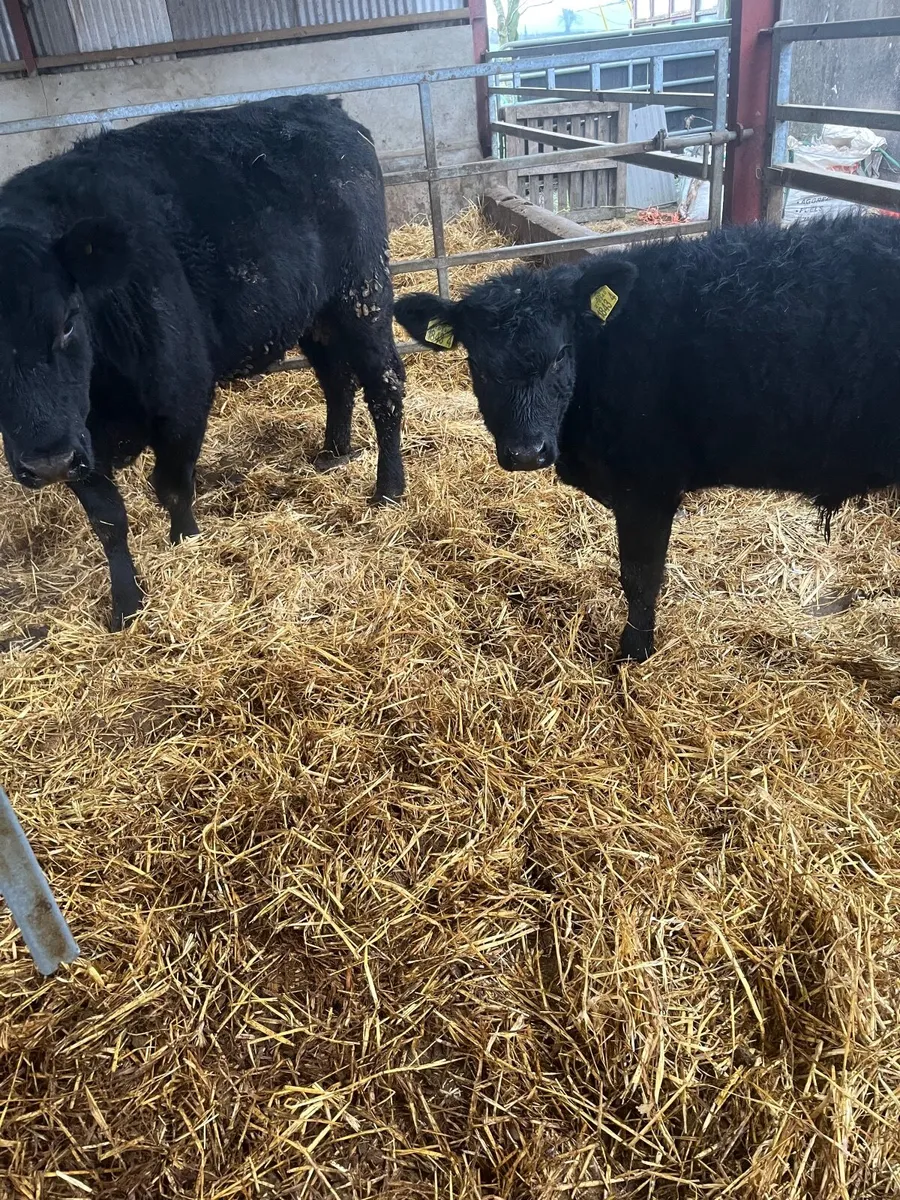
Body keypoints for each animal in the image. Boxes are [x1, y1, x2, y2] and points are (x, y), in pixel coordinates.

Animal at [0, 95, 405, 630]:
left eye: (68, 321)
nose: (47, 464)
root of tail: (324, 107)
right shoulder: (79, 439)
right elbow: (107, 520)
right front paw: (126, 605)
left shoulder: (182, 402)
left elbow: (173, 486)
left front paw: (185, 543)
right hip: (315, 313)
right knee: (337, 379)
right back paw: (332, 453)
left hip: (362, 295)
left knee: (385, 385)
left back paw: (389, 489)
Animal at [395, 216, 900, 662]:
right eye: (478, 364)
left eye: (561, 354)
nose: (526, 453)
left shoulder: (647, 487)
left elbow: (640, 577)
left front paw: (633, 653)